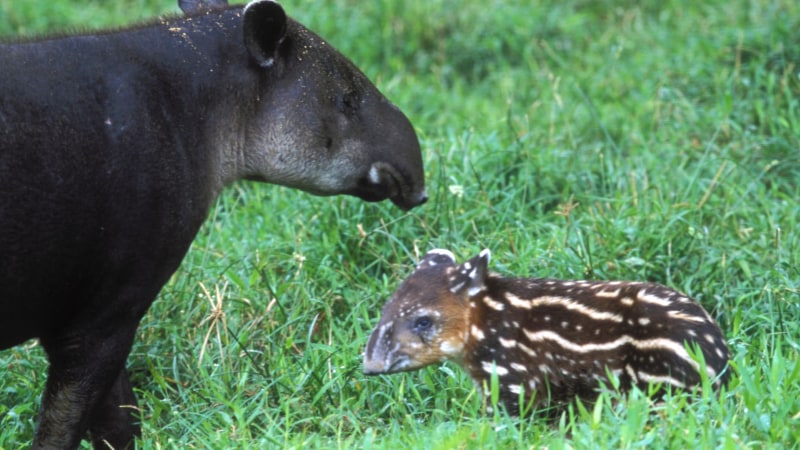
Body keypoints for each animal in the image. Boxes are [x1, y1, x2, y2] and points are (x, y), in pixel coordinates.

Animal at [0, 1, 428, 448]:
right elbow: (71, 424)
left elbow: (118, 419)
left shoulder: (85, 310)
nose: (416, 178)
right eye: (346, 101)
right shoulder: (107, 307)